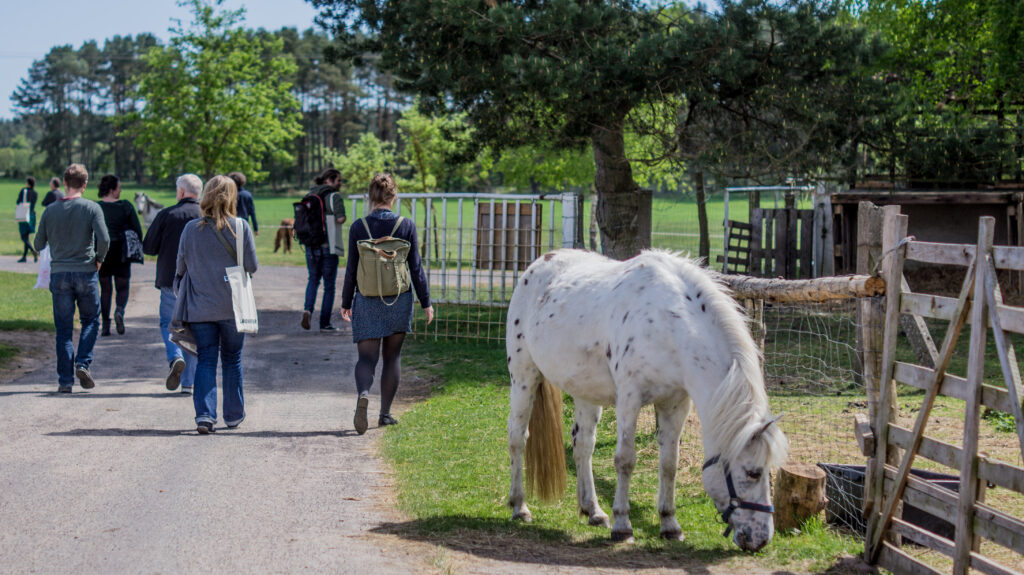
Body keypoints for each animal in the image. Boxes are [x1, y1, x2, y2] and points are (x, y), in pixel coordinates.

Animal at [506, 249, 788, 551]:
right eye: (753, 473)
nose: (761, 539)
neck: (668, 325)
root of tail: (540, 262)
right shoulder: (629, 399)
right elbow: (625, 460)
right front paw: (622, 525)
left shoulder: (675, 404)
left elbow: (669, 463)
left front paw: (670, 525)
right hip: (524, 377)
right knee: (518, 437)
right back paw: (520, 506)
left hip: (585, 392)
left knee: (583, 446)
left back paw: (593, 511)